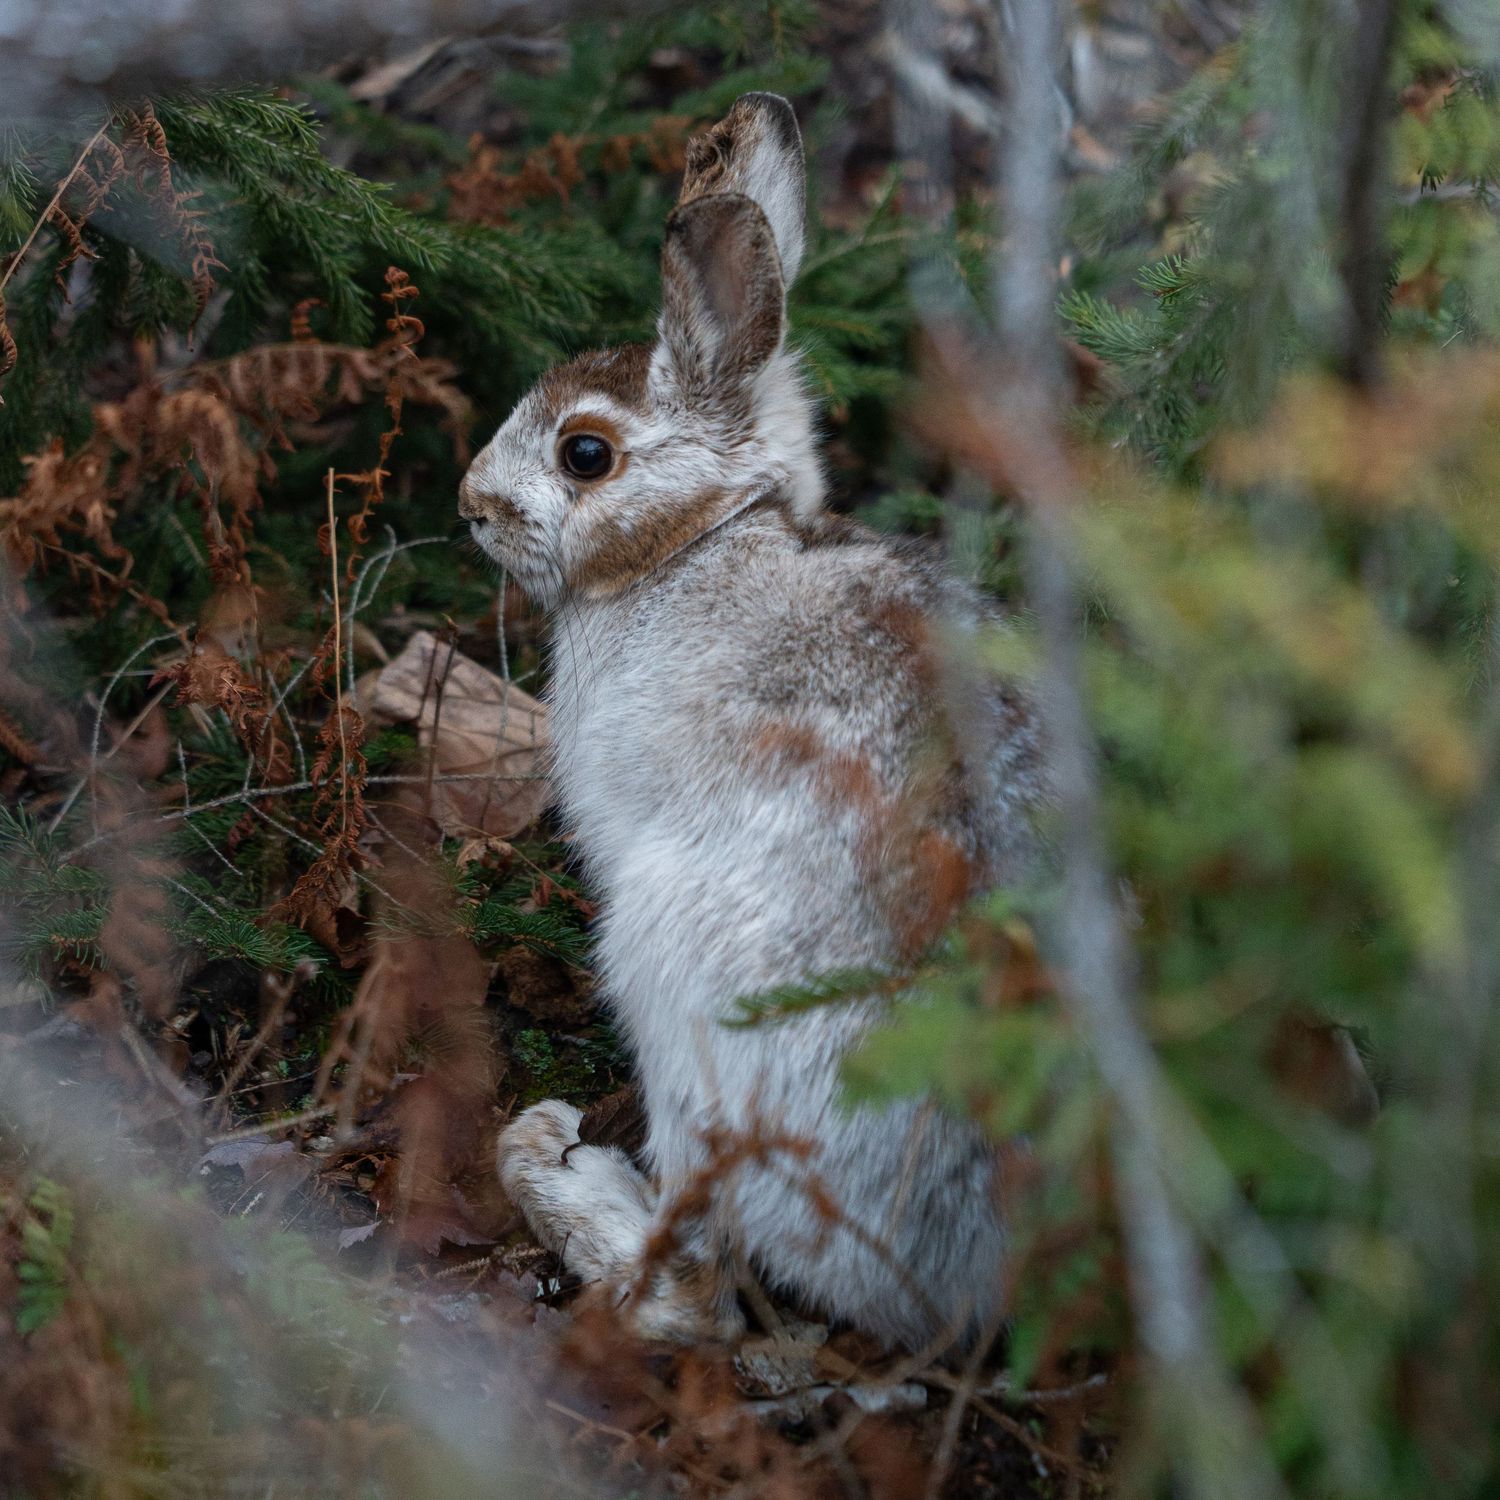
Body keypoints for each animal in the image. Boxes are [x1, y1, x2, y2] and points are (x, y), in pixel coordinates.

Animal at [459, 93, 1048, 1349]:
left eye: (585, 453)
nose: (470, 502)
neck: (703, 537)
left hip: (679, 972)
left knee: (698, 1297)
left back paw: (555, 1169)